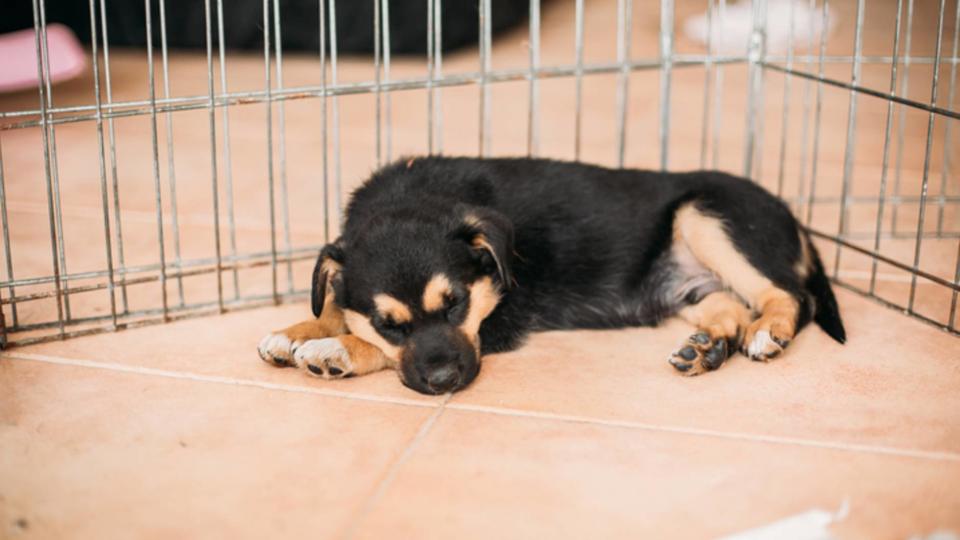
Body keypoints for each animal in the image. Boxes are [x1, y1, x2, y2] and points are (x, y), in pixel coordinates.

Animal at [258, 155, 844, 392]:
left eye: (456, 303)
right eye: (391, 323)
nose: (446, 384)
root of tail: (794, 218)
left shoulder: (504, 315)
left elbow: (364, 344)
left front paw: (334, 350)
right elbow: (338, 309)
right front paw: (297, 330)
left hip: (709, 215)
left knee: (790, 295)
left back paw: (768, 332)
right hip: (690, 287)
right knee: (730, 307)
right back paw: (707, 349)